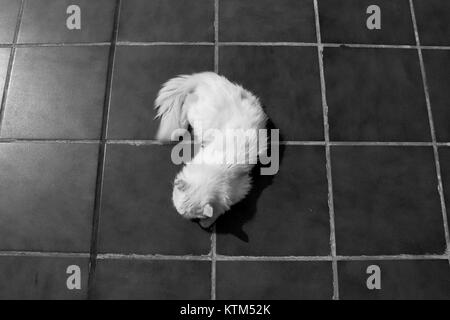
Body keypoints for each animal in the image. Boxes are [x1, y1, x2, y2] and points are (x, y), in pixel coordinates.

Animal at [155, 72, 268, 228]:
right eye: (180, 209)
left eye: (186, 213)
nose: (180, 213)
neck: (217, 171)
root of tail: (207, 78)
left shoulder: (240, 190)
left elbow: (218, 210)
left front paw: (206, 222)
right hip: (197, 115)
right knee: (187, 102)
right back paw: (181, 125)